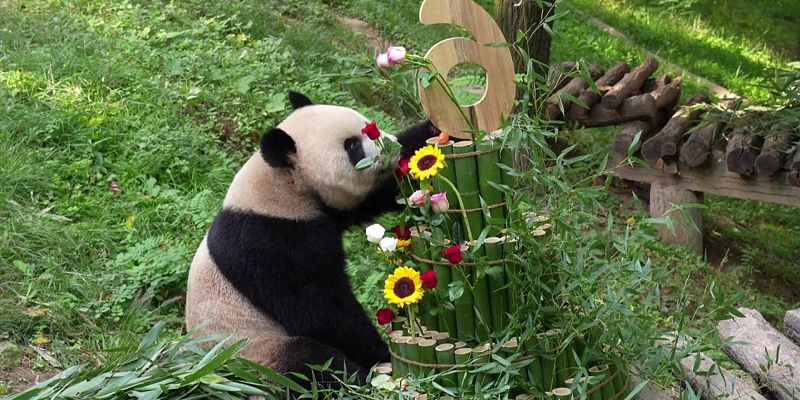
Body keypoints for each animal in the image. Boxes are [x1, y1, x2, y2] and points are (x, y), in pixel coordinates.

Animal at [185, 91, 437, 387]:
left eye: (367, 125)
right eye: (352, 145)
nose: (391, 147)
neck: (283, 185)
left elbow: (380, 193)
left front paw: (431, 132)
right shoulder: (272, 242)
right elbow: (319, 310)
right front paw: (379, 354)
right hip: (253, 352)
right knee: (307, 361)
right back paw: (358, 379)